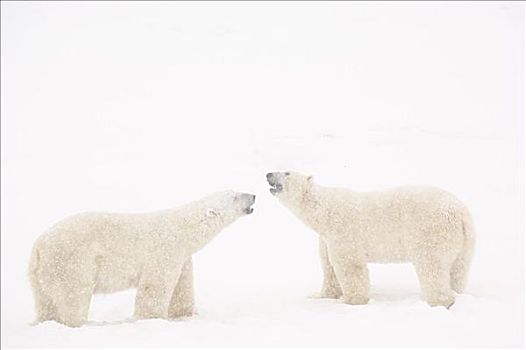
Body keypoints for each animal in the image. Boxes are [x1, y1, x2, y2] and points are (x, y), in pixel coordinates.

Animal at [29, 190, 256, 326]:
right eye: (235, 197)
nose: (253, 195)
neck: (184, 229)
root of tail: (38, 247)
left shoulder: (182, 257)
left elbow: (182, 289)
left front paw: (185, 315)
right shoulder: (165, 251)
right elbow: (155, 287)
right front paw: (151, 319)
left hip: (43, 273)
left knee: (46, 301)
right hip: (71, 261)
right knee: (74, 296)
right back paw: (82, 323)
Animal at [266, 171, 476, 308]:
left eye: (287, 172)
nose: (268, 174)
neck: (324, 211)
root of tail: (459, 212)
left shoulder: (342, 232)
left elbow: (350, 266)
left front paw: (350, 301)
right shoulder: (326, 239)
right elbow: (329, 268)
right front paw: (319, 296)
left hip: (431, 231)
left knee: (431, 266)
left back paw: (439, 301)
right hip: (464, 242)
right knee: (457, 270)